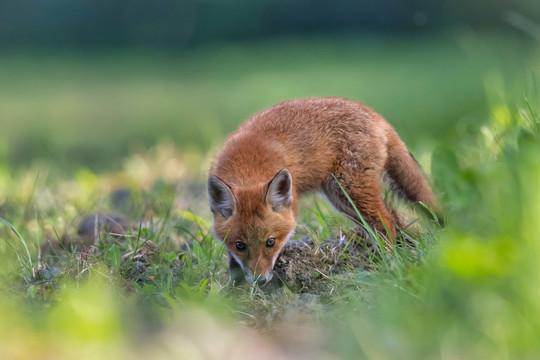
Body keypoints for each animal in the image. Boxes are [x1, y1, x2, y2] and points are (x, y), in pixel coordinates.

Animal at [207, 96, 438, 284]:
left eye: (270, 242)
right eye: (240, 245)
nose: (260, 281)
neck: (248, 164)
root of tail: (372, 113)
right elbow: (233, 263)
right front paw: (233, 288)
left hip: (350, 191)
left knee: (386, 222)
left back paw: (388, 263)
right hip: (342, 200)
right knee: (394, 220)